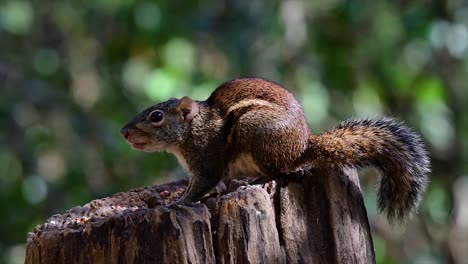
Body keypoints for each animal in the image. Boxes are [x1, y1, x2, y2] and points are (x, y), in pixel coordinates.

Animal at [121, 77, 432, 222]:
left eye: (156, 116)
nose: (124, 132)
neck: (191, 131)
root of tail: (303, 147)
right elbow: (214, 185)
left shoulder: (206, 159)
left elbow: (201, 185)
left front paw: (176, 203)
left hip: (255, 131)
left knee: (281, 173)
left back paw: (257, 180)